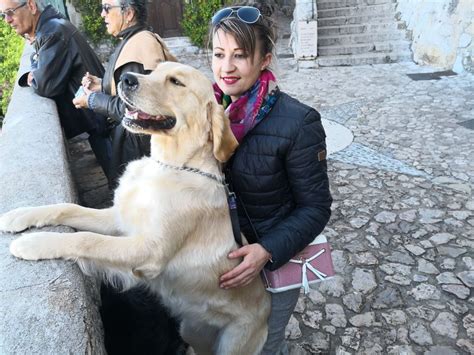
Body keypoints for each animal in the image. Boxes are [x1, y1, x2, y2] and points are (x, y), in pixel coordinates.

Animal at [0, 62, 270, 354]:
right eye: (152, 71)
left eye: (176, 82)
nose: (126, 79)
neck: (170, 165)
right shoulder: (118, 219)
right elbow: (67, 208)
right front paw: (19, 216)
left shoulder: (149, 251)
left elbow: (87, 240)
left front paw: (33, 243)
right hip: (191, 329)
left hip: (234, 342)